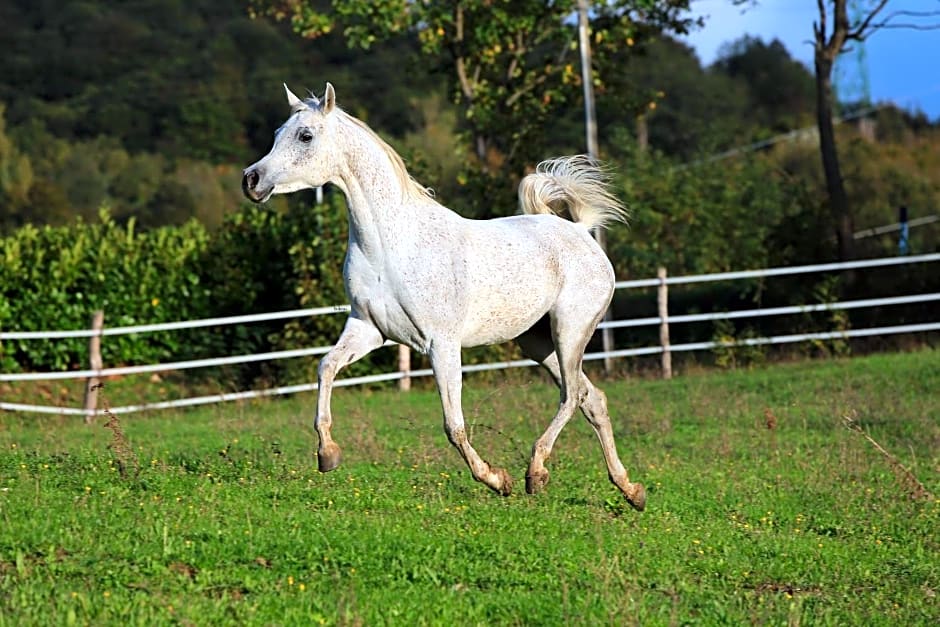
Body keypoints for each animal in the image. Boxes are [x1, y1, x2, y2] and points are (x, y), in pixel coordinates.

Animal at [242, 82, 648, 510]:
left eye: (305, 136)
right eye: (277, 133)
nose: (251, 180)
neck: (393, 244)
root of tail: (582, 233)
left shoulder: (442, 345)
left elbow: (453, 425)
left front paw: (496, 479)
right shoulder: (368, 328)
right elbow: (326, 367)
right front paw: (327, 454)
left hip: (570, 331)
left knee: (572, 396)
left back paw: (536, 473)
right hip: (537, 342)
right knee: (592, 399)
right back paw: (630, 490)